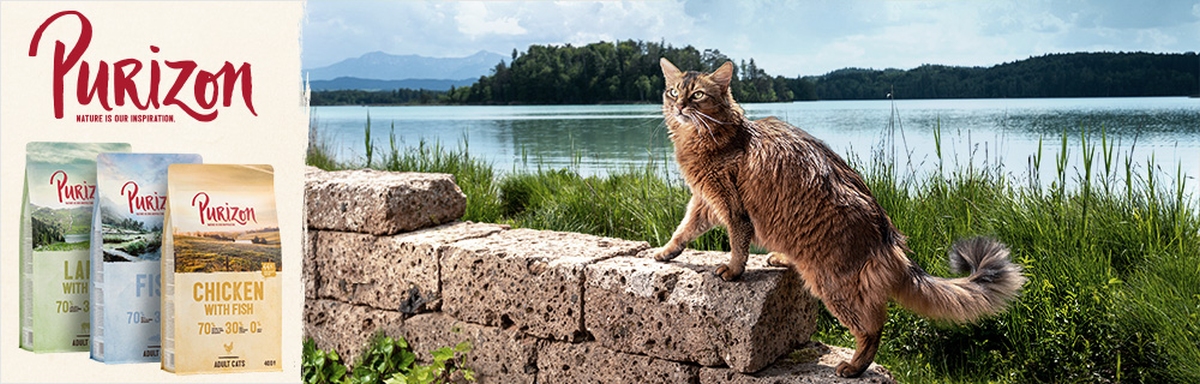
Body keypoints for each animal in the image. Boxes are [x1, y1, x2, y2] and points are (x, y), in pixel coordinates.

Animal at [652, 58, 1027, 376]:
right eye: (673, 92)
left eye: (698, 95)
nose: (680, 106)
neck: (709, 137)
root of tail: (887, 236)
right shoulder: (704, 201)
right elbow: (683, 230)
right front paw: (666, 252)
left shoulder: (729, 204)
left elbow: (738, 243)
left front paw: (732, 270)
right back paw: (782, 258)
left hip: (832, 285)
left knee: (873, 326)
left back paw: (855, 366)